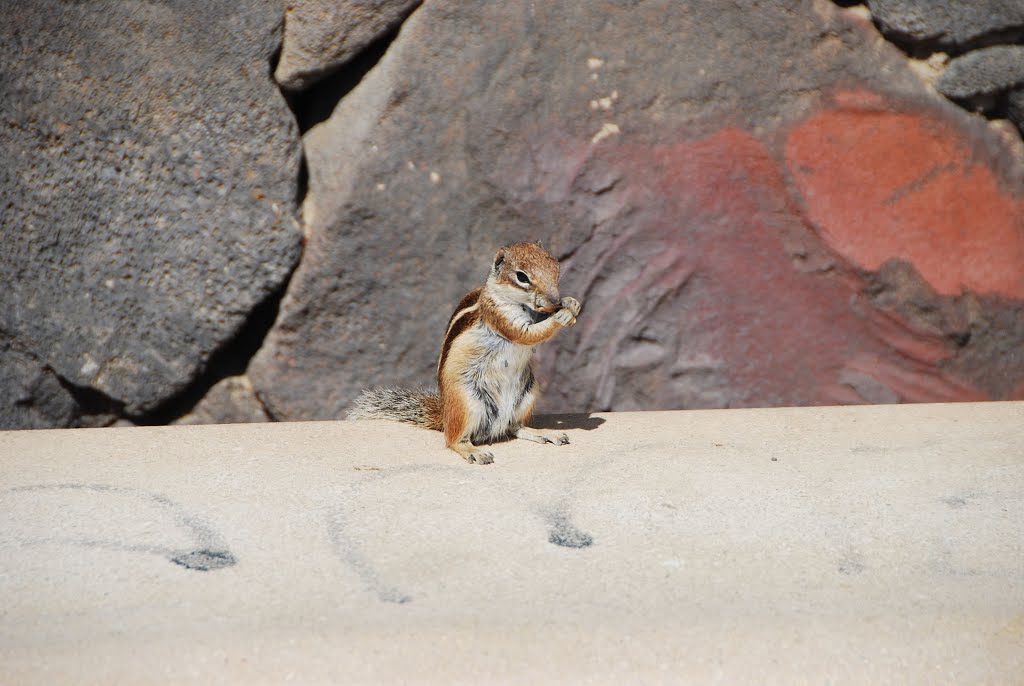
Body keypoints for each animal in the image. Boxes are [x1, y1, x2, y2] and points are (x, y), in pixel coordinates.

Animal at [350, 243, 577, 466]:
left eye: (556, 267)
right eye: (522, 276)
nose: (555, 301)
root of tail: (445, 413)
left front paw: (571, 303)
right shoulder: (500, 317)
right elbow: (529, 334)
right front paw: (560, 315)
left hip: (527, 394)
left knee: (515, 427)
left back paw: (546, 434)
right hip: (467, 403)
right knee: (453, 439)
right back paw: (473, 451)